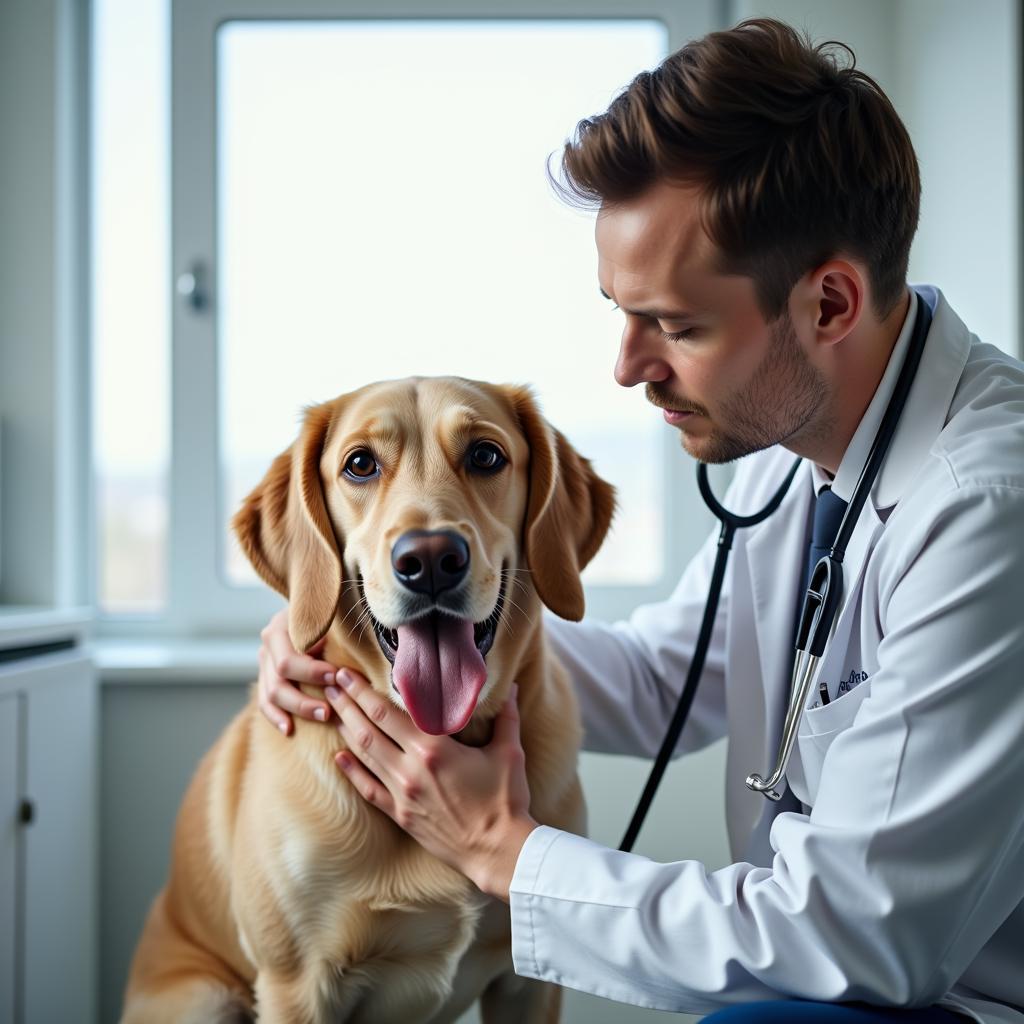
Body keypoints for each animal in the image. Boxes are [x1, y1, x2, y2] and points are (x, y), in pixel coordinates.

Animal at [119, 378, 614, 1024]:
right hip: (202, 997)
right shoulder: (296, 986)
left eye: (486, 455)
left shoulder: (525, 985)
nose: (429, 559)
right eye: (360, 464)